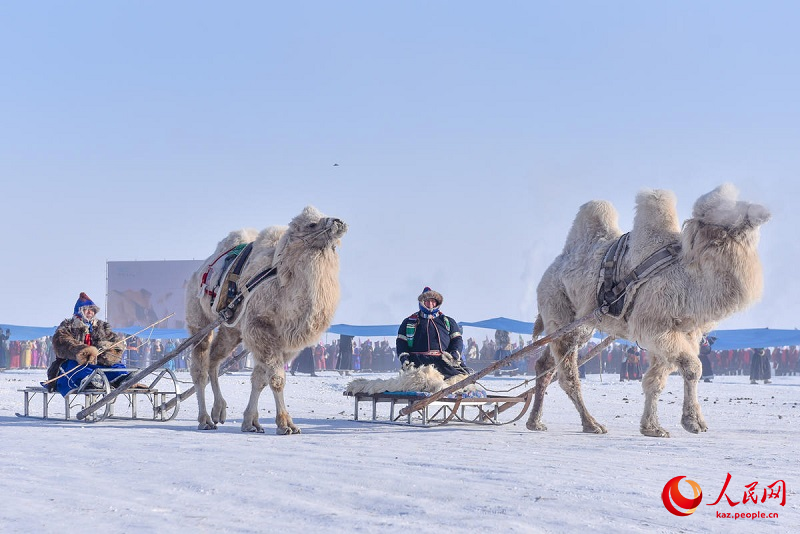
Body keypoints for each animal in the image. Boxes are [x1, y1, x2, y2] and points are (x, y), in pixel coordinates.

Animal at [188, 207, 350, 438]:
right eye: (311, 224)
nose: (339, 222)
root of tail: (200, 269)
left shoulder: (286, 343)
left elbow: (260, 379)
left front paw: (251, 423)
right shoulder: (260, 329)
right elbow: (276, 379)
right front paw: (286, 424)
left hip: (232, 329)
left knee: (214, 359)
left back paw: (219, 411)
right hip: (199, 318)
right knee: (199, 366)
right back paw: (205, 420)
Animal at [524, 185, 768, 440]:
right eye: (726, 210)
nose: (762, 212)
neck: (689, 279)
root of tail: (549, 271)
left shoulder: (682, 332)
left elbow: (656, 380)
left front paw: (652, 427)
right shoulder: (654, 326)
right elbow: (693, 368)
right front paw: (693, 423)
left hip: (574, 324)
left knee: (545, 365)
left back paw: (535, 422)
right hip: (559, 307)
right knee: (568, 375)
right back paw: (591, 424)